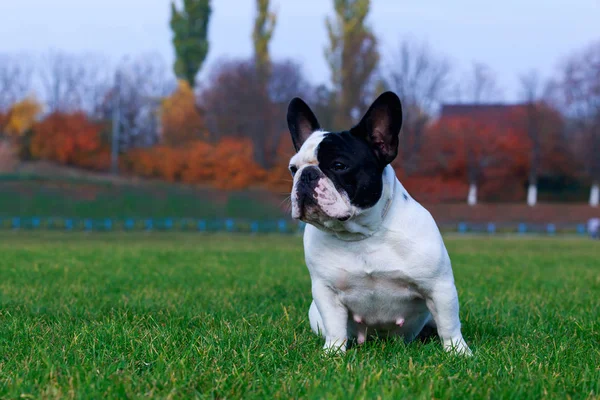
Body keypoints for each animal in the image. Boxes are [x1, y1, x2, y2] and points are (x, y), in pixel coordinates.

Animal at [288, 92, 472, 354]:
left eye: (339, 166)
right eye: (293, 169)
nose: (306, 175)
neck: (362, 234)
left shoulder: (439, 286)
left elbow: (449, 324)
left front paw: (458, 352)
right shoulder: (326, 292)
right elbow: (335, 327)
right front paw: (333, 353)